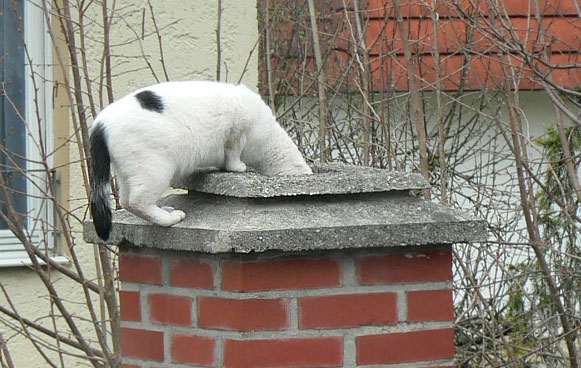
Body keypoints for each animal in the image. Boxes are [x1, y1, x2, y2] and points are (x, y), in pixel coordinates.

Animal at [88, 81, 310, 240]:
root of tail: (100, 124)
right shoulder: (237, 129)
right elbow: (233, 152)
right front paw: (238, 167)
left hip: (128, 172)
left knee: (126, 201)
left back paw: (163, 211)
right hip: (155, 169)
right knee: (137, 201)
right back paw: (169, 218)